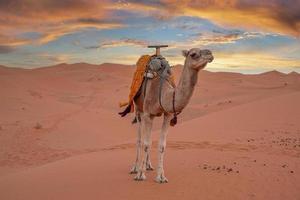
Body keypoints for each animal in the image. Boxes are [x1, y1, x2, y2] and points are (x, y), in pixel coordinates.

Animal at [129, 47, 213, 183]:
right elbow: (145, 143)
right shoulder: (147, 114)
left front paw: (161, 177)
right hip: (138, 110)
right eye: (193, 54)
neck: (163, 93)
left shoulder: (167, 114)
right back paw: (135, 168)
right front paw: (140, 175)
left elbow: (161, 145)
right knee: (140, 139)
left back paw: (148, 165)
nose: (210, 53)